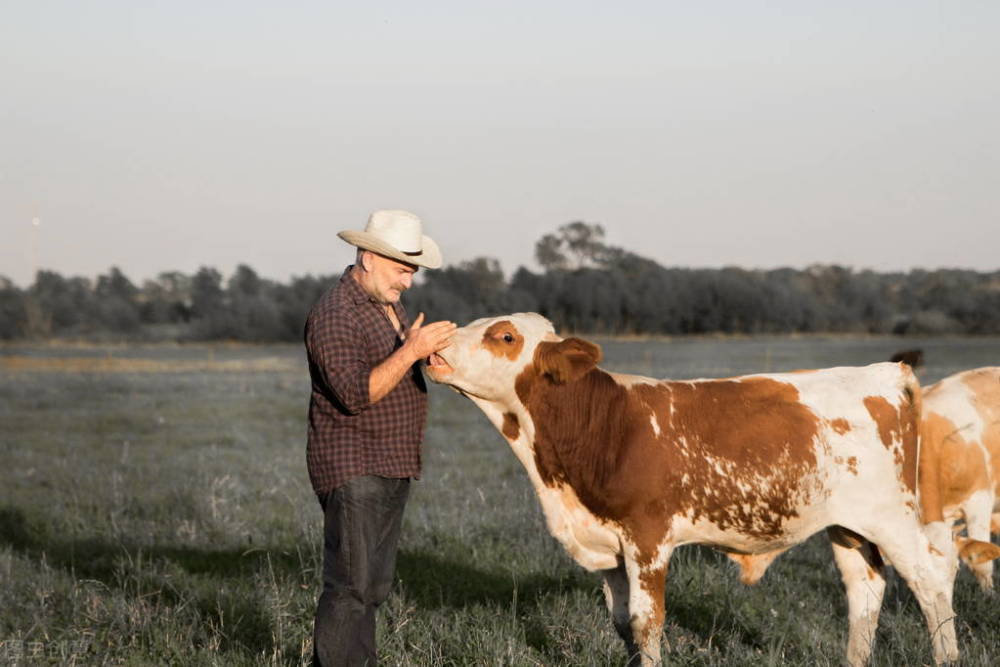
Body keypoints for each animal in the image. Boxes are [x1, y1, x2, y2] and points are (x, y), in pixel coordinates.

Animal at [424, 314, 960, 667]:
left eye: (505, 336)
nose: (434, 346)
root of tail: (885, 372)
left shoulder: (648, 538)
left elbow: (647, 621)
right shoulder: (610, 546)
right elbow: (622, 622)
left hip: (892, 518)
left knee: (931, 581)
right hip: (848, 526)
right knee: (864, 592)